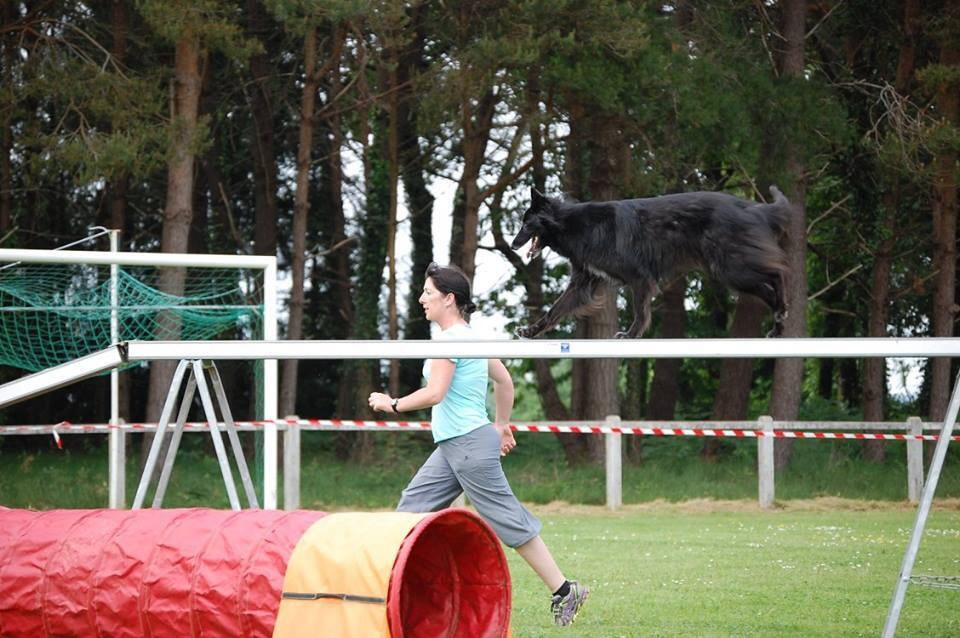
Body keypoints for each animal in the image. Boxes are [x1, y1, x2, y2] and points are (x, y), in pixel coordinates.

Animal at [512, 186, 792, 340]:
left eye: (526, 225)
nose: (513, 245)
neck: (573, 224)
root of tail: (753, 208)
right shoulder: (583, 283)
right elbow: (554, 310)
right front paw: (531, 331)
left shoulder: (639, 278)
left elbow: (640, 310)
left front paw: (631, 334)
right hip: (731, 272)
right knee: (770, 288)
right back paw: (778, 325)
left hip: (732, 268)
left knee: (777, 274)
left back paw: (782, 309)